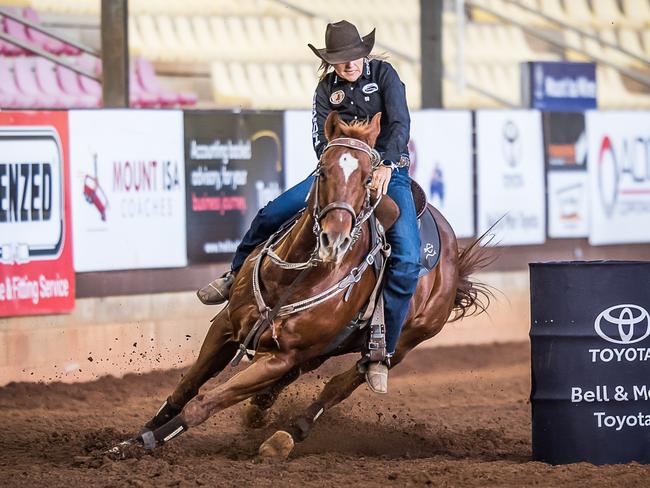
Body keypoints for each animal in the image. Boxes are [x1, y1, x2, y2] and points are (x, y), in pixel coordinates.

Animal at [120, 112, 486, 460]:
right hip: (327, 346)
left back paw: (286, 434)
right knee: (301, 375)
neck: (289, 278)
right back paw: (260, 410)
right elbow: (188, 385)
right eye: (322, 171)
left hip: (404, 343)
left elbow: (203, 404)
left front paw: (146, 443)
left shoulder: (280, 358)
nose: (334, 239)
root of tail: (453, 257)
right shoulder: (226, 326)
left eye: (368, 178)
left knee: (339, 386)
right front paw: (135, 437)